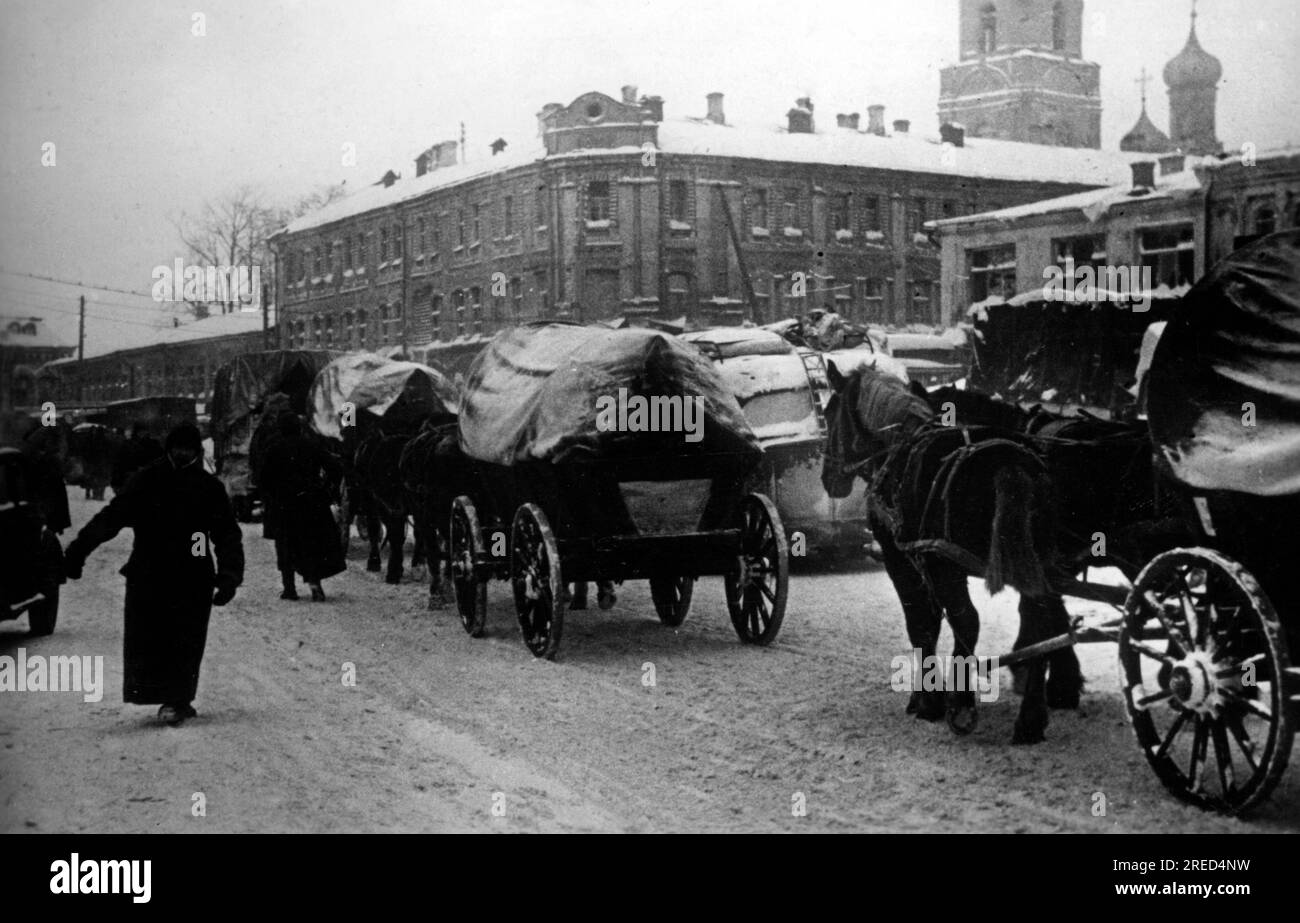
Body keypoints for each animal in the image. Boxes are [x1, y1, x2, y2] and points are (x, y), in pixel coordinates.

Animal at [826, 364, 1071, 748]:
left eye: (828, 414)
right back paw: (1031, 717)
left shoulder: (904, 560)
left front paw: (929, 701)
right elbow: (934, 622)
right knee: (1040, 621)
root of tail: (1007, 460)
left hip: (946, 562)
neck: (897, 446)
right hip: (1036, 562)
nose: (827, 477)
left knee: (969, 619)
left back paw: (963, 705)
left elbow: (921, 624)